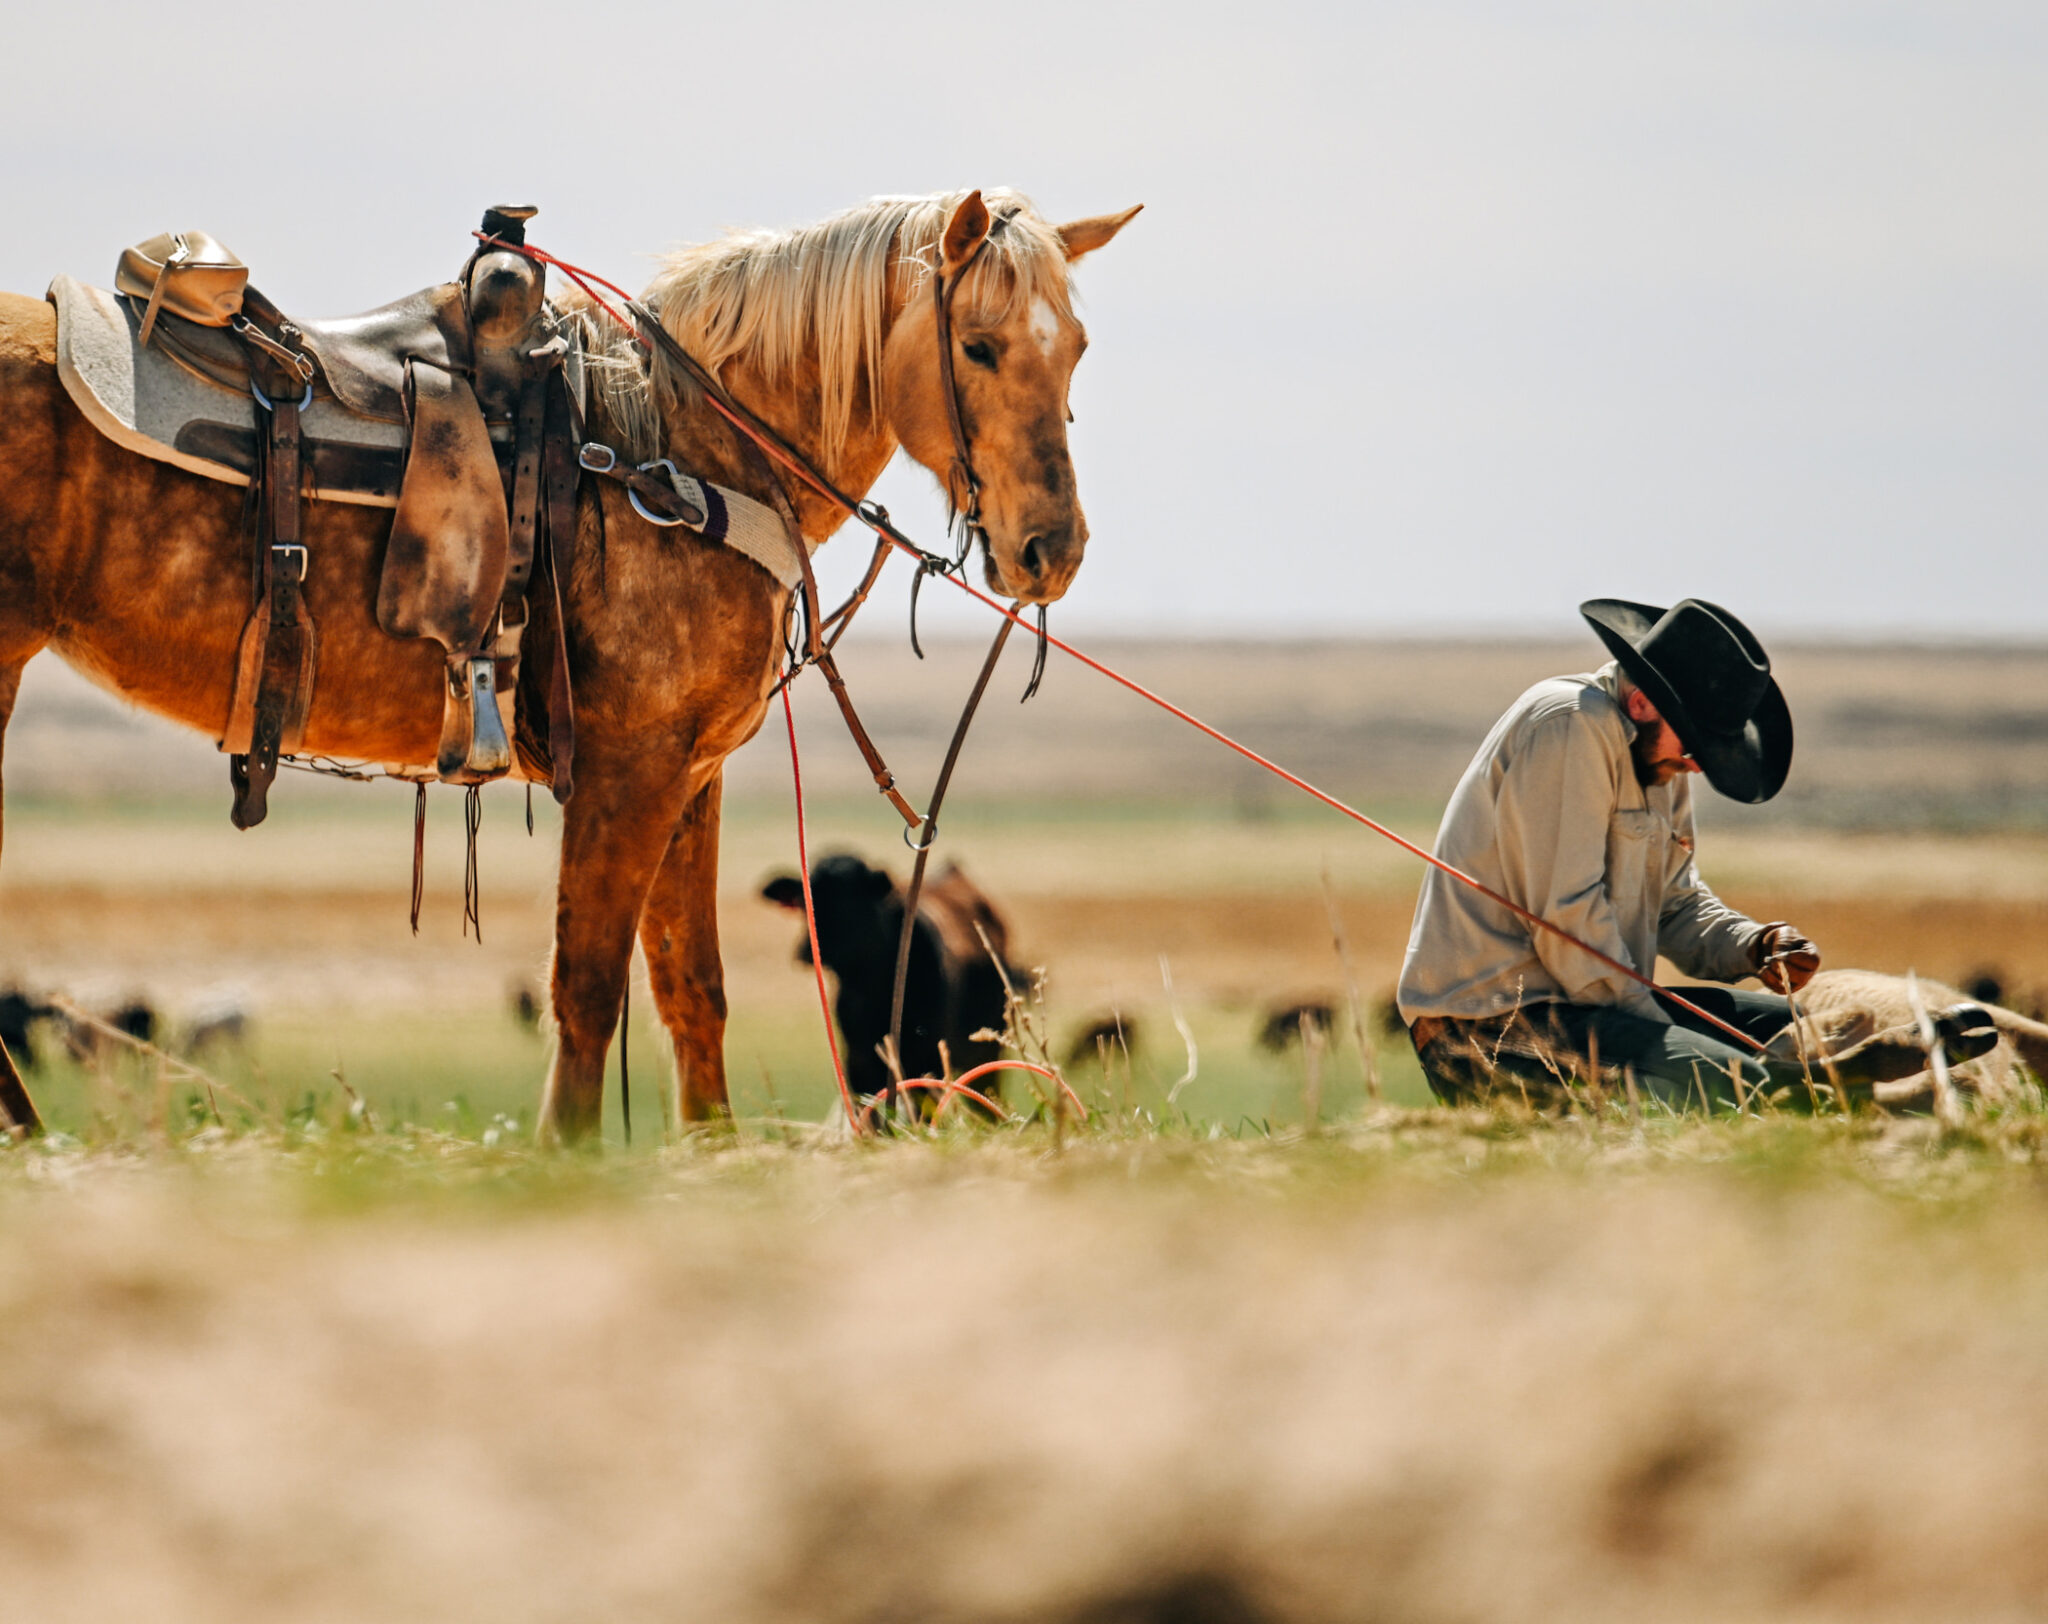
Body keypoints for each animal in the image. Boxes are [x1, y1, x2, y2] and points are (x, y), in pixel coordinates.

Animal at [761, 847, 1015, 1105]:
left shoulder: (926, 1061)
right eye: (806, 901)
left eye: (853, 900)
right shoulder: (858, 1064)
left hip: (987, 1057)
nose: (808, 951)